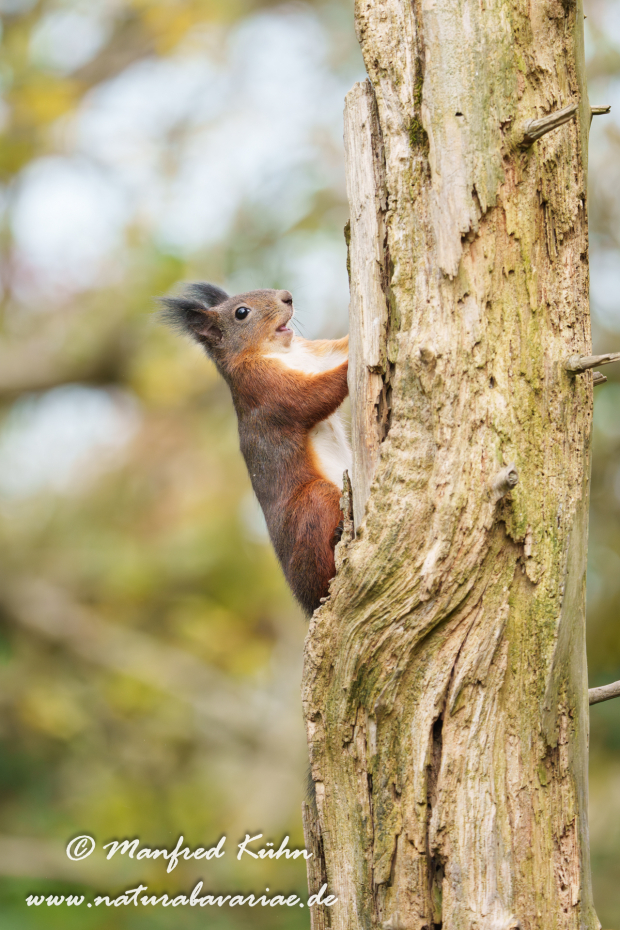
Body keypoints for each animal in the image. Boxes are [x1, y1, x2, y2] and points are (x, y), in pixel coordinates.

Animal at [161, 283, 350, 616]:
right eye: (241, 313)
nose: (287, 296)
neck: (281, 351)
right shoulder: (266, 391)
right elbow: (313, 396)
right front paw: (354, 365)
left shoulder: (315, 354)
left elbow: (339, 348)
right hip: (313, 503)